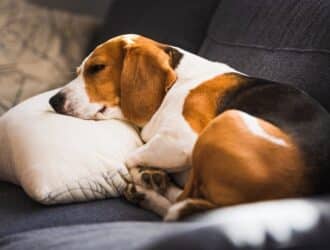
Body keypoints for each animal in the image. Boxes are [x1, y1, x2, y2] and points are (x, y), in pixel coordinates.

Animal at [49, 34, 330, 220]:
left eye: (97, 68)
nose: (53, 101)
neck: (177, 80)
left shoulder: (183, 141)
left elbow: (129, 158)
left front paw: (143, 174)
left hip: (226, 121)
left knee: (181, 202)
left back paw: (149, 191)